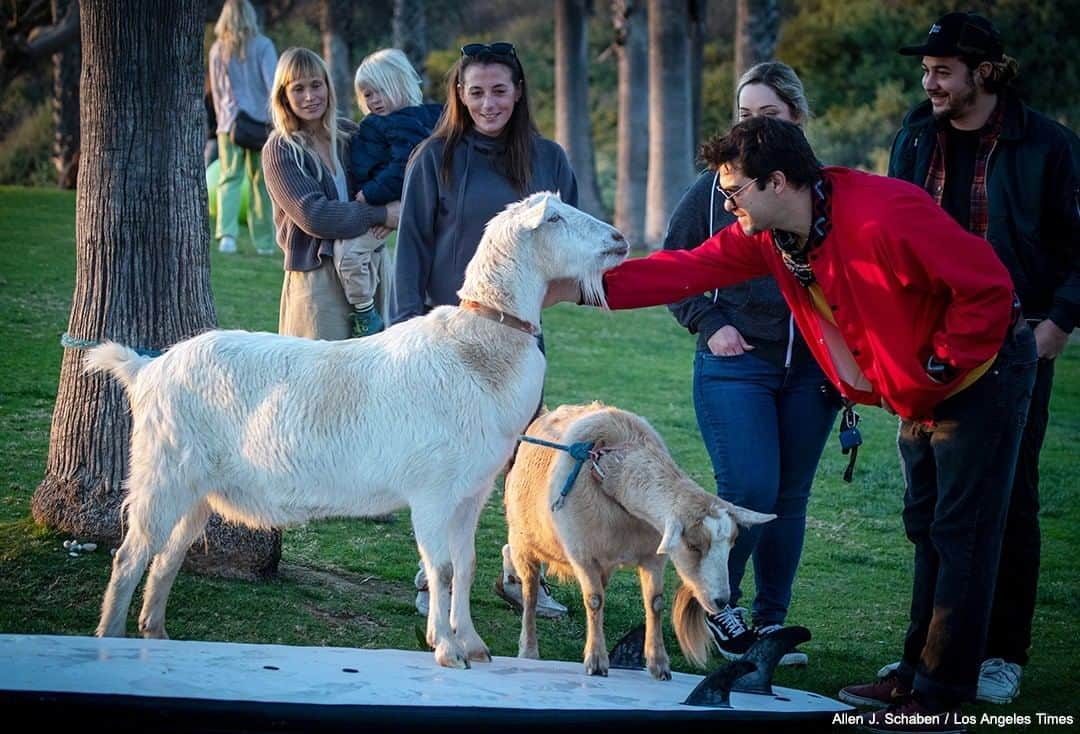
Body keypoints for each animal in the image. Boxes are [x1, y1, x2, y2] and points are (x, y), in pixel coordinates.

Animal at [88, 191, 630, 669]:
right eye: (554, 217)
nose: (620, 239)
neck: (475, 349)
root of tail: (147, 369)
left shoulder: (470, 493)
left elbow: (466, 564)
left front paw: (472, 644)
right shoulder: (432, 491)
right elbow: (442, 568)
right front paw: (446, 648)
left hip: (198, 490)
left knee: (167, 557)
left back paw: (157, 634)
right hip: (163, 472)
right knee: (131, 555)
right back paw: (110, 638)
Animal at [501, 403, 773, 677]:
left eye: (732, 544)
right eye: (693, 546)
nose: (722, 601)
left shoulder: (652, 556)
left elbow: (655, 603)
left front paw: (658, 663)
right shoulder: (582, 553)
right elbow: (594, 601)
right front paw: (596, 660)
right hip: (523, 541)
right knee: (530, 593)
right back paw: (529, 649)